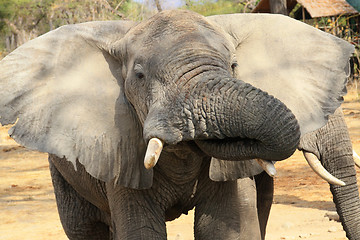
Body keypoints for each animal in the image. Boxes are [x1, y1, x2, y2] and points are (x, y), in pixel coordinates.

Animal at [0, 9, 354, 240]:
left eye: (233, 66)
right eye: (139, 76)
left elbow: (227, 227)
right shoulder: (121, 147)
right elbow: (141, 230)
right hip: (62, 171)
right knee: (85, 229)